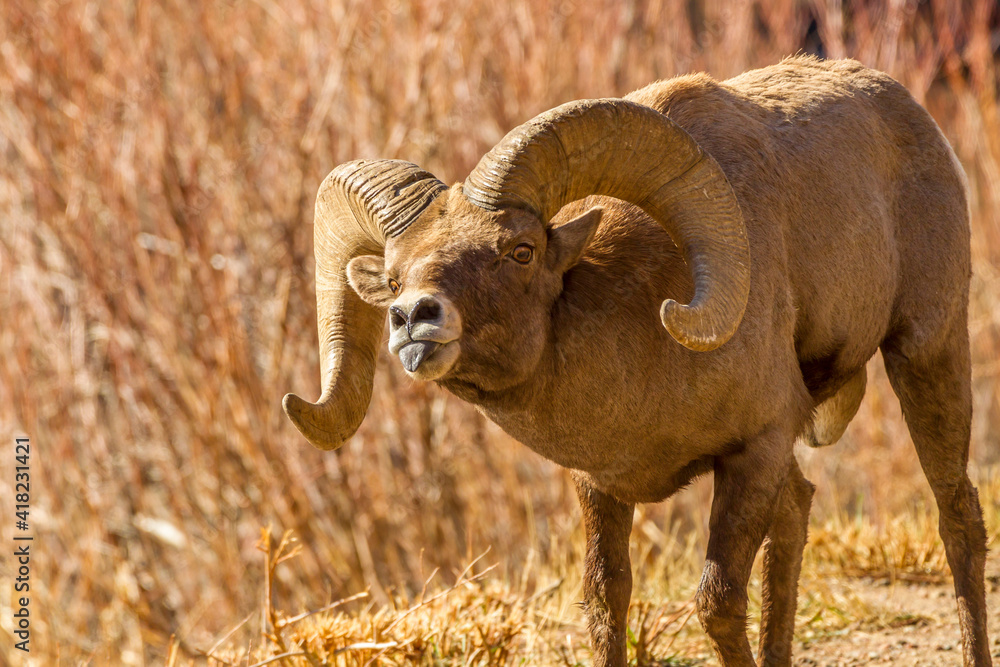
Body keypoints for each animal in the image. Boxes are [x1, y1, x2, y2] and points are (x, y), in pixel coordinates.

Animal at [283, 56, 992, 666]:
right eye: (393, 279)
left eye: (520, 251)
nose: (414, 319)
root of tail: (906, 109)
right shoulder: (601, 486)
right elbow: (607, 605)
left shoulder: (754, 452)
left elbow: (717, 604)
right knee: (797, 516)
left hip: (926, 353)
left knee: (956, 516)